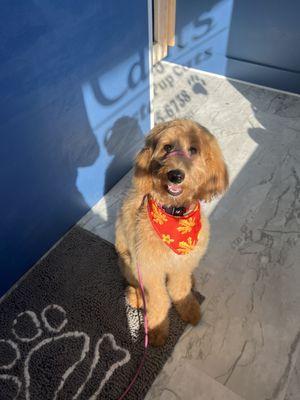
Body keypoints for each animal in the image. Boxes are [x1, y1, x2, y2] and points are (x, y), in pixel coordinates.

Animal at [116, 119, 229, 346]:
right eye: (167, 147)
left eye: (193, 150)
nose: (175, 175)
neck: (174, 215)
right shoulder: (149, 269)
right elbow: (159, 299)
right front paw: (157, 329)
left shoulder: (182, 264)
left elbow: (179, 289)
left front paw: (189, 308)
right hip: (128, 261)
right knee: (135, 285)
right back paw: (136, 296)